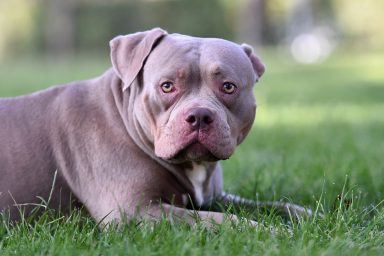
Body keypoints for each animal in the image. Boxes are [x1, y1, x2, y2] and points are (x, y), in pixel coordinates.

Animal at [0, 27, 308, 225]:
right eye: (167, 86)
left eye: (228, 87)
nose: (199, 115)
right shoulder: (133, 211)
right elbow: (224, 221)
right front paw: (271, 232)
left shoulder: (214, 196)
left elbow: (270, 204)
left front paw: (305, 215)